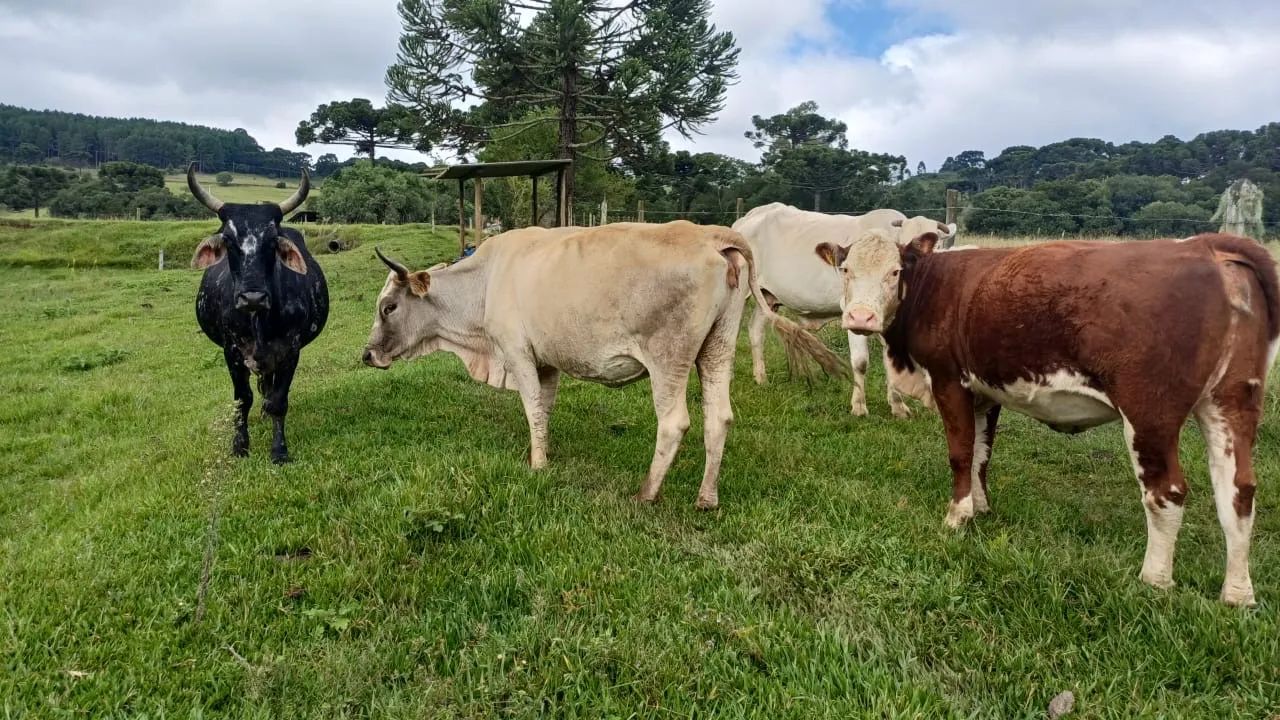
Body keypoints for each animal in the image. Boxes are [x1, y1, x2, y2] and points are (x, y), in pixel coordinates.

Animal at [188, 163, 329, 463]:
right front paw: (240, 445)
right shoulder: (231, 351)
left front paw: (279, 450)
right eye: (228, 241)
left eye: (273, 242)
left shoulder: (290, 350)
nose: (252, 297)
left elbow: (279, 401)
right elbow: (242, 398)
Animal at [361, 221, 845, 509]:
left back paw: (646, 493)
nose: (367, 354)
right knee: (719, 418)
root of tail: (711, 234)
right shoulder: (547, 362)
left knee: (674, 422)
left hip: (668, 357)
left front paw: (538, 464)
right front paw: (545, 451)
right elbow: (545, 409)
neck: (483, 282)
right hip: (718, 348)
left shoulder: (517, 354)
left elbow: (531, 407)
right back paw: (707, 498)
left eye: (388, 307)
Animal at [732, 202, 956, 416]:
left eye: (937, 244)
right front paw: (859, 406)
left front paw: (898, 406)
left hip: (766, 296)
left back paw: (761, 378)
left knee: (755, 330)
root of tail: (747, 218)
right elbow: (860, 362)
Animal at [815, 230, 1278, 605]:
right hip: (1230, 402)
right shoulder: (985, 390)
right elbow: (982, 453)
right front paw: (981, 507)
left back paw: (1155, 579)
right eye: (845, 269)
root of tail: (1207, 245)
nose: (860, 317)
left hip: (1151, 413)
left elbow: (961, 453)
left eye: (894, 271)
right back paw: (1237, 593)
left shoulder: (949, 381)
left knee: (1167, 492)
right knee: (1238, 491)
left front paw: (957, 516)